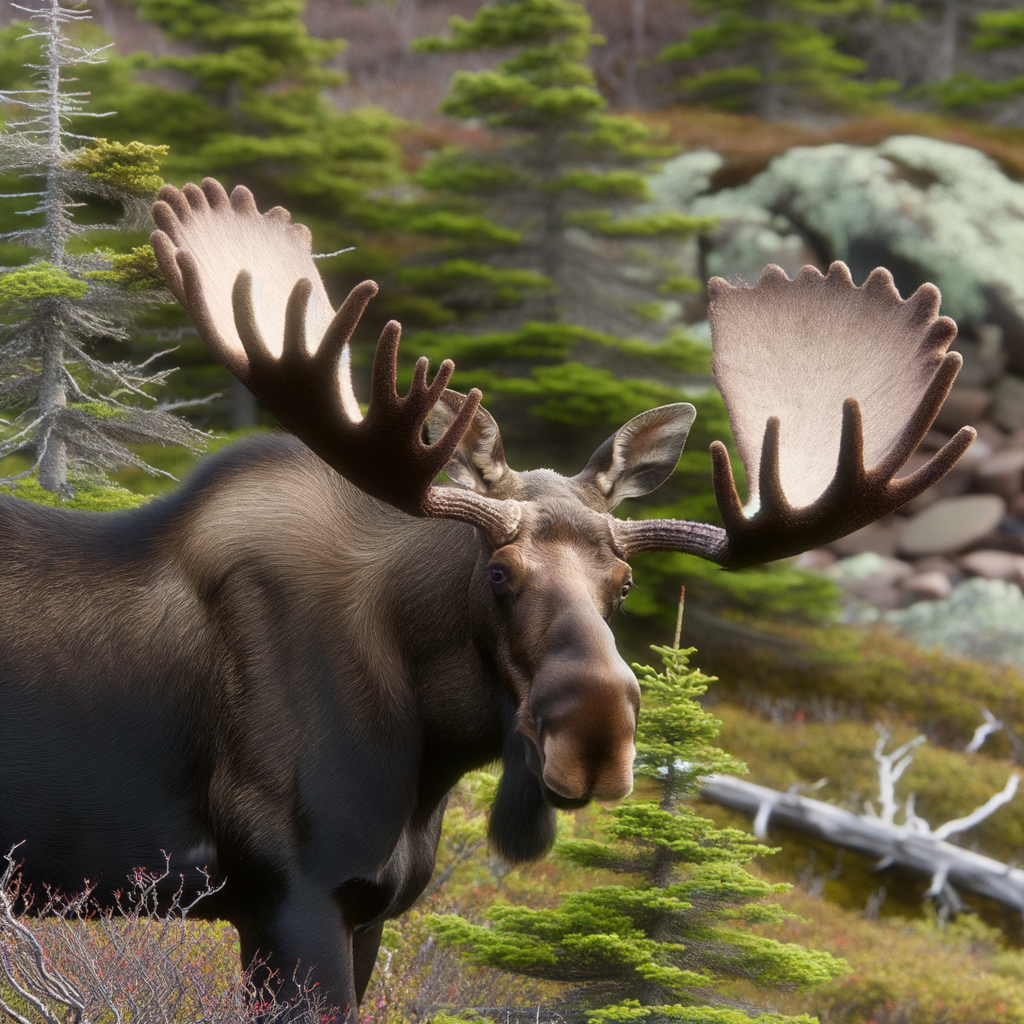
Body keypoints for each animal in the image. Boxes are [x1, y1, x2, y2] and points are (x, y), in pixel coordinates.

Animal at [0, 177, 975, 1014]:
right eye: (500, 572)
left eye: (624, 584)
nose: (598, 735)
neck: (428, 750)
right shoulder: (289, 892)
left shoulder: (368, 907)